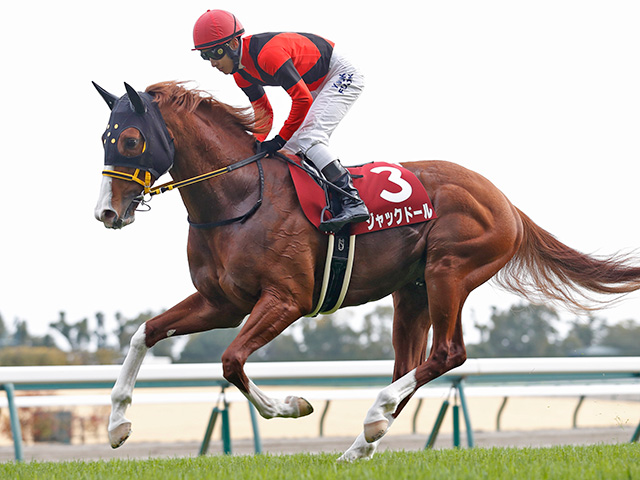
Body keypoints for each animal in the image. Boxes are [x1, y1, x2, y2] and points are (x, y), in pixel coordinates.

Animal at [92, 81, 640, 462]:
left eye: (132, 140)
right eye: (103, 137)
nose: (106, 212)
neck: (241, 198)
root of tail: (505, 202)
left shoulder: (286, 300)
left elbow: (230, 361)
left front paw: (293, 405)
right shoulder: (222, 302)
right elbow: (145, 333)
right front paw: (117, 425)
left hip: (449, 270)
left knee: (447, 354)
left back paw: (374, 418)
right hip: (412, 292)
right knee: (409, 366)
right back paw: (361, 444)